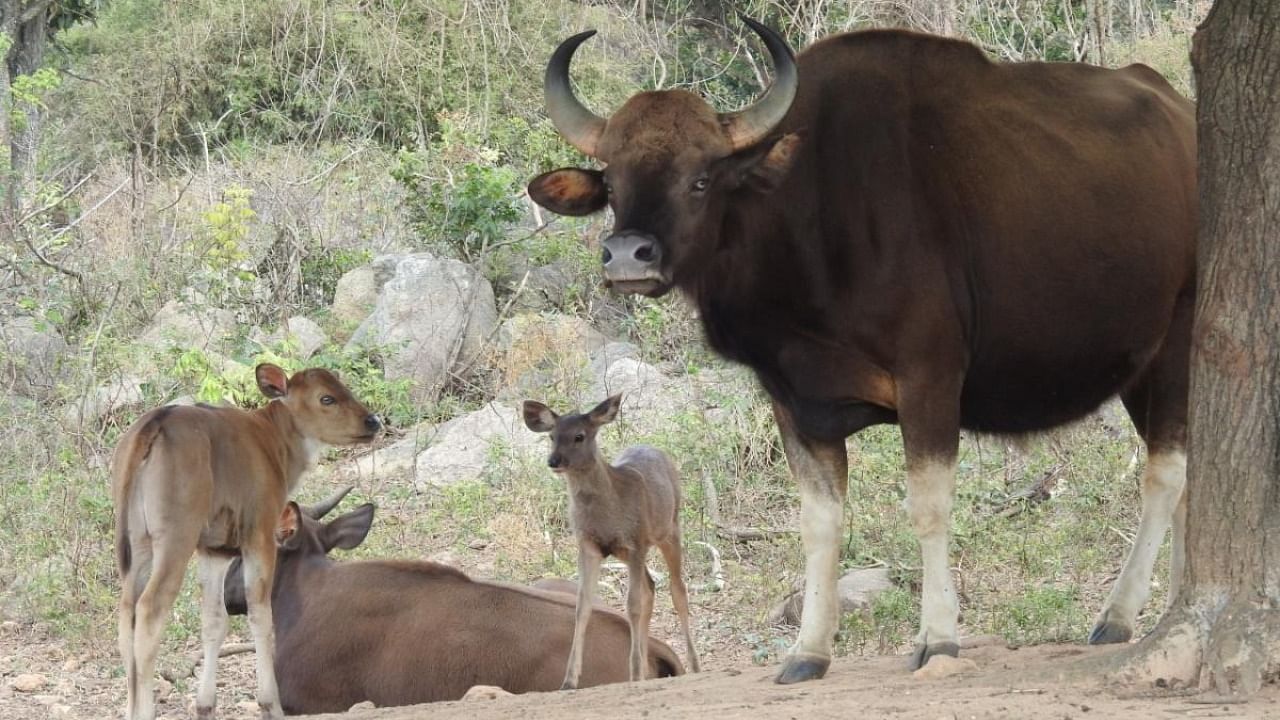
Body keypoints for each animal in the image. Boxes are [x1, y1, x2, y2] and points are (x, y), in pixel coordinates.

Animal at [113, 363, 378, 717]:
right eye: (327, 398)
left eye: (344, 387)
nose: (372, 421)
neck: (273, 443)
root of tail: (154, 425)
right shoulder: (260, 535)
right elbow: (261, 614)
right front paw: (270, 703)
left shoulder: (214, 549)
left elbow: (214, 621)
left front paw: (206, 705)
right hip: (174, 538)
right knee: (149, 609)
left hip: (137, 543)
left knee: (126, 611)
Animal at [519, 394, 701, 686]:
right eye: (552, 436)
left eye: (579, 436)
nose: (554, 461)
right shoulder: (588, 546)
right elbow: (582, 606)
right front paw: (569, 680)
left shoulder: (635, 541)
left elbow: (633, 605)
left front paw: (634, 673)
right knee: (651, 587)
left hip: (669, 528)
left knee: (677, 589)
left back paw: (693, 665)